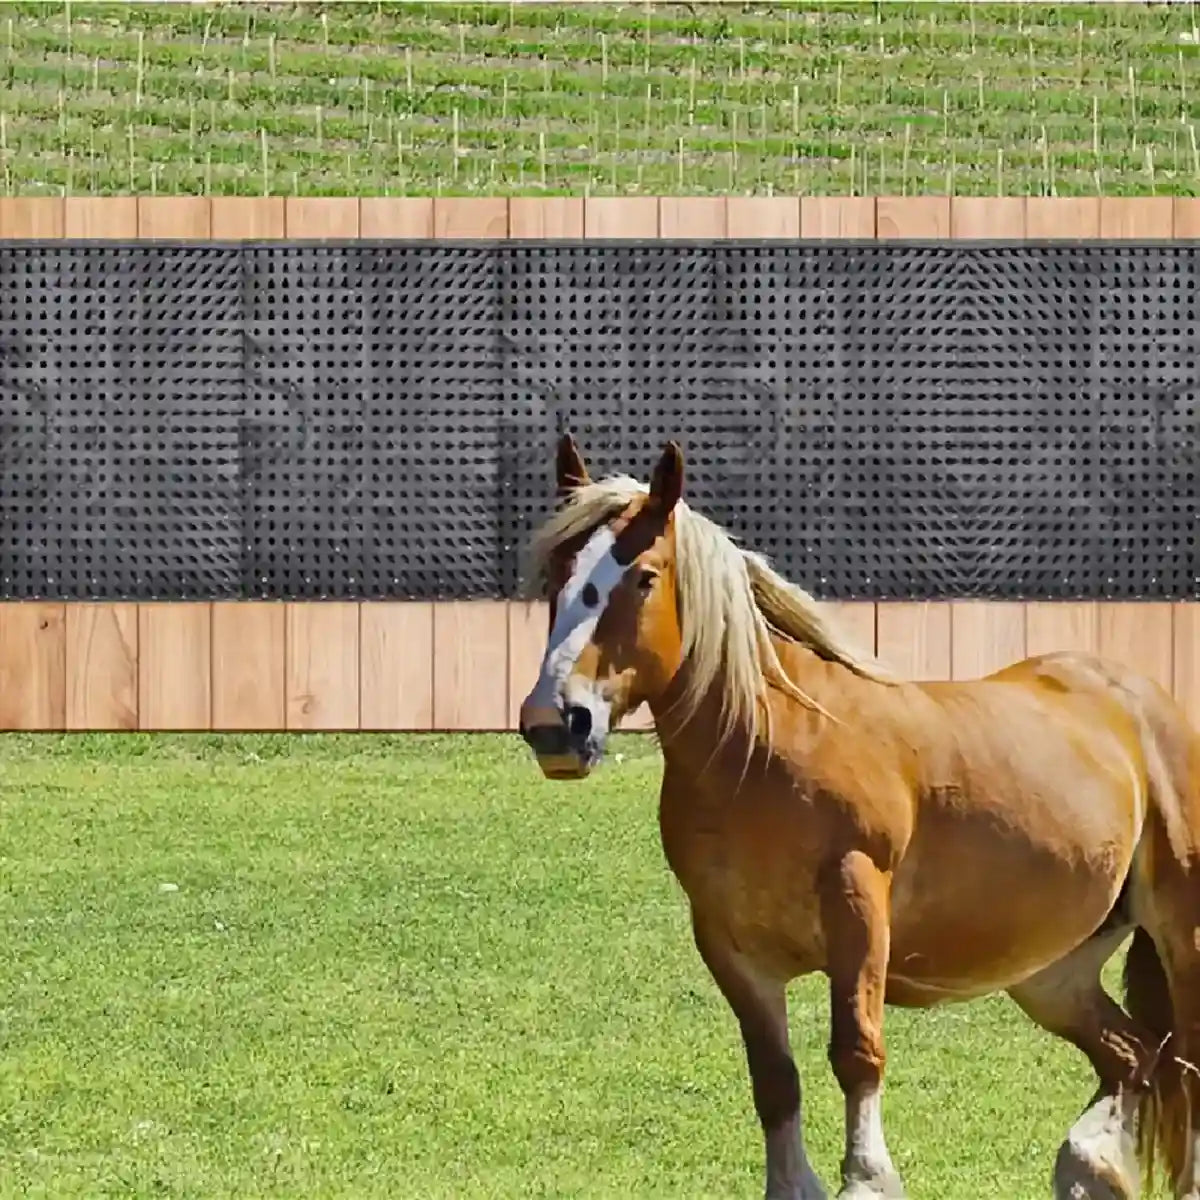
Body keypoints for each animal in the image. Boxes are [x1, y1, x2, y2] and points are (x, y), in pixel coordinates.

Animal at [516, 433, 1200, 1200]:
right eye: (557, 575)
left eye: (643, 577)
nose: (556, 724)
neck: (768, 748)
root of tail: (1141, 699)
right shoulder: (732, 947)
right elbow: (774, 1078)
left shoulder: (857, 905)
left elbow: (857, 1050)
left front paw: (867, 1177)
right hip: (1052, 972)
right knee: (1132, 1056)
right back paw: (1088, 1163)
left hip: (1182, 936)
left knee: (1184, 1066)